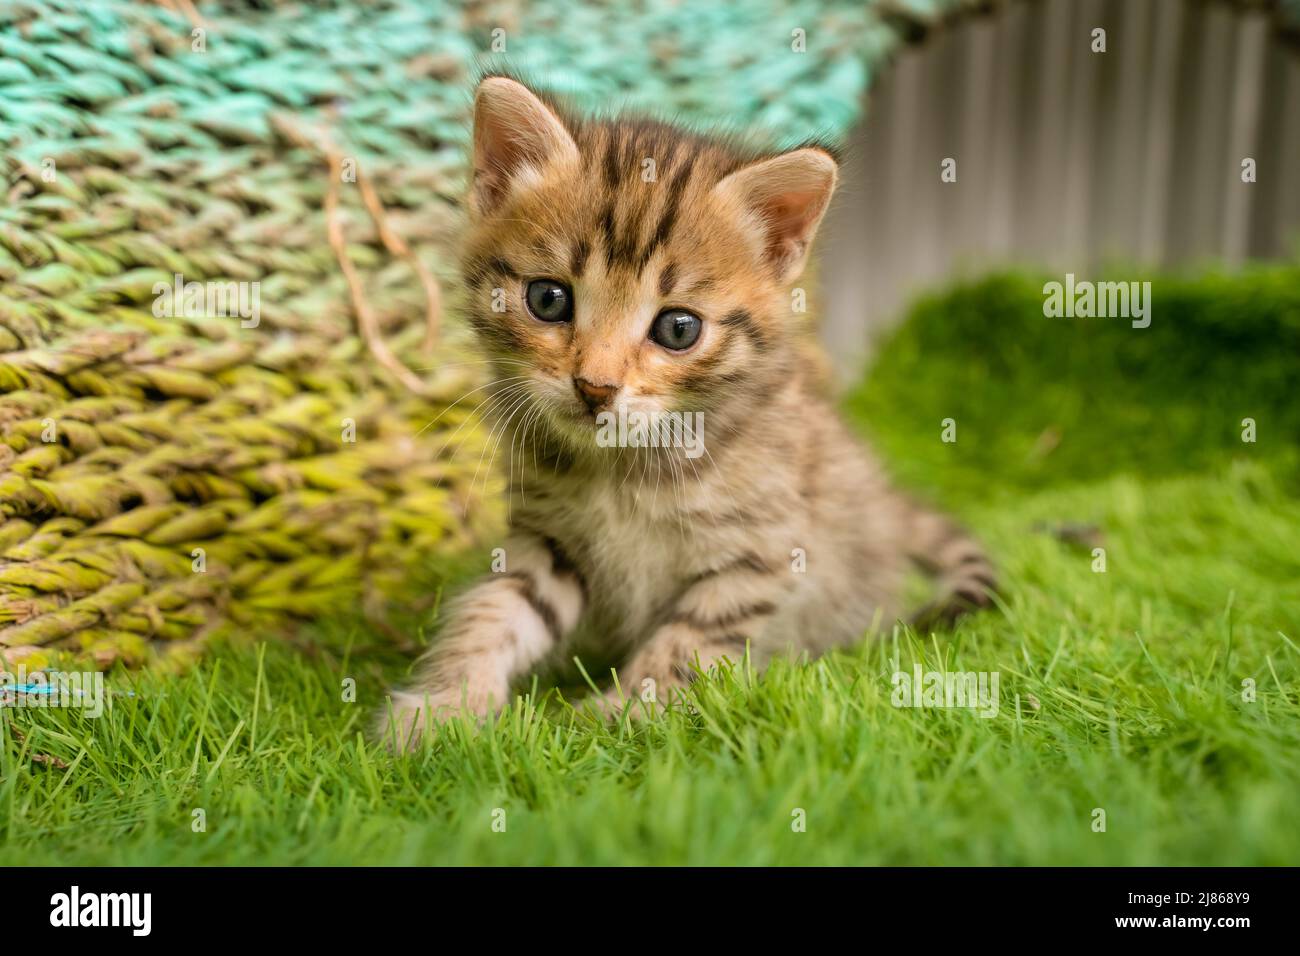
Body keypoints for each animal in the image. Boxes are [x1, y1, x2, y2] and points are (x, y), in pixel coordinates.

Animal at [377, 76, 993, 749]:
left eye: (678, 329)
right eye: (548, 298)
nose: (595, 387)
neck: (622, 469)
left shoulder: (760, 553)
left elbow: (690, 639)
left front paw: (624, 715)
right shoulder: (550, 539)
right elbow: (496, 609)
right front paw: (444, 706)